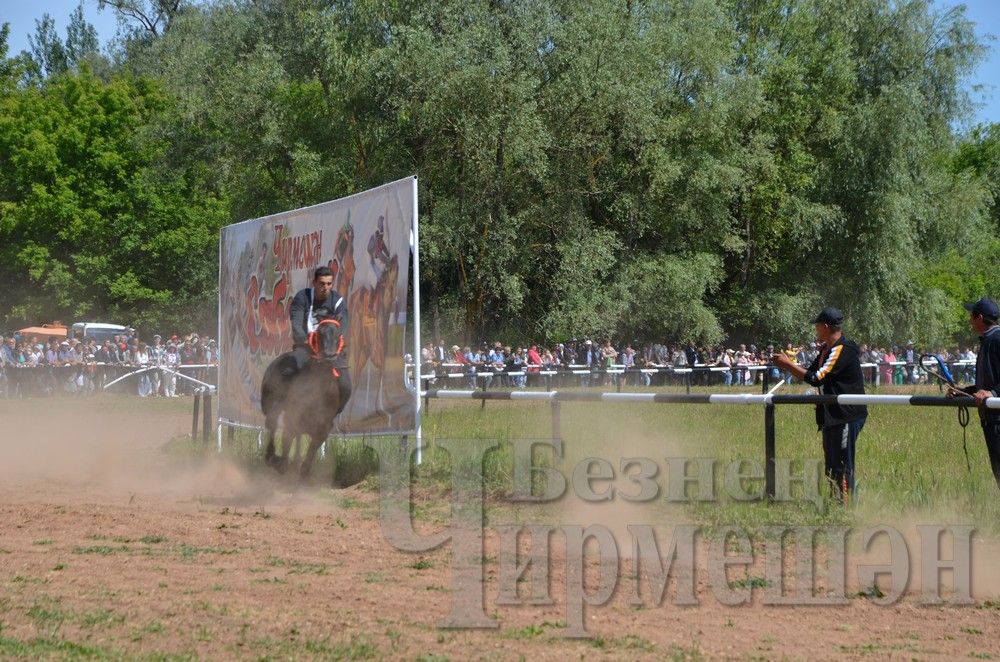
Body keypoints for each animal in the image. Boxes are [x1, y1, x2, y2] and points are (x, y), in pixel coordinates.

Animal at [260, 318, 346, 480]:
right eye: (320, 334)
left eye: (339, 335)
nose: (330, 356)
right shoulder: (292, 416)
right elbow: (287, 438)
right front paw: (281, 463)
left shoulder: (324, 426)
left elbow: (311, 449)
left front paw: (303, 470)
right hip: (272, 406)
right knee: (272, 426)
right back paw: (272, 457)